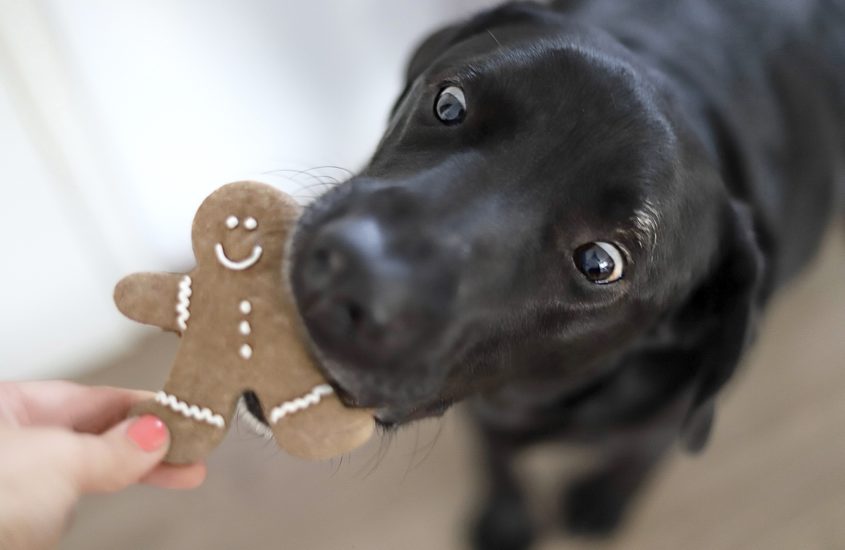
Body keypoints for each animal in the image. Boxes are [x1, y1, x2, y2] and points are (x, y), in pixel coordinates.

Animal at [258, 2, 844, 548]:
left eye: (600, 263)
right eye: (449, 104)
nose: (351, 269)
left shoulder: (671, 416)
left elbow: (641, 456)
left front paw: (605, 500)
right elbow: (498, 460)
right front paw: (506, 518)